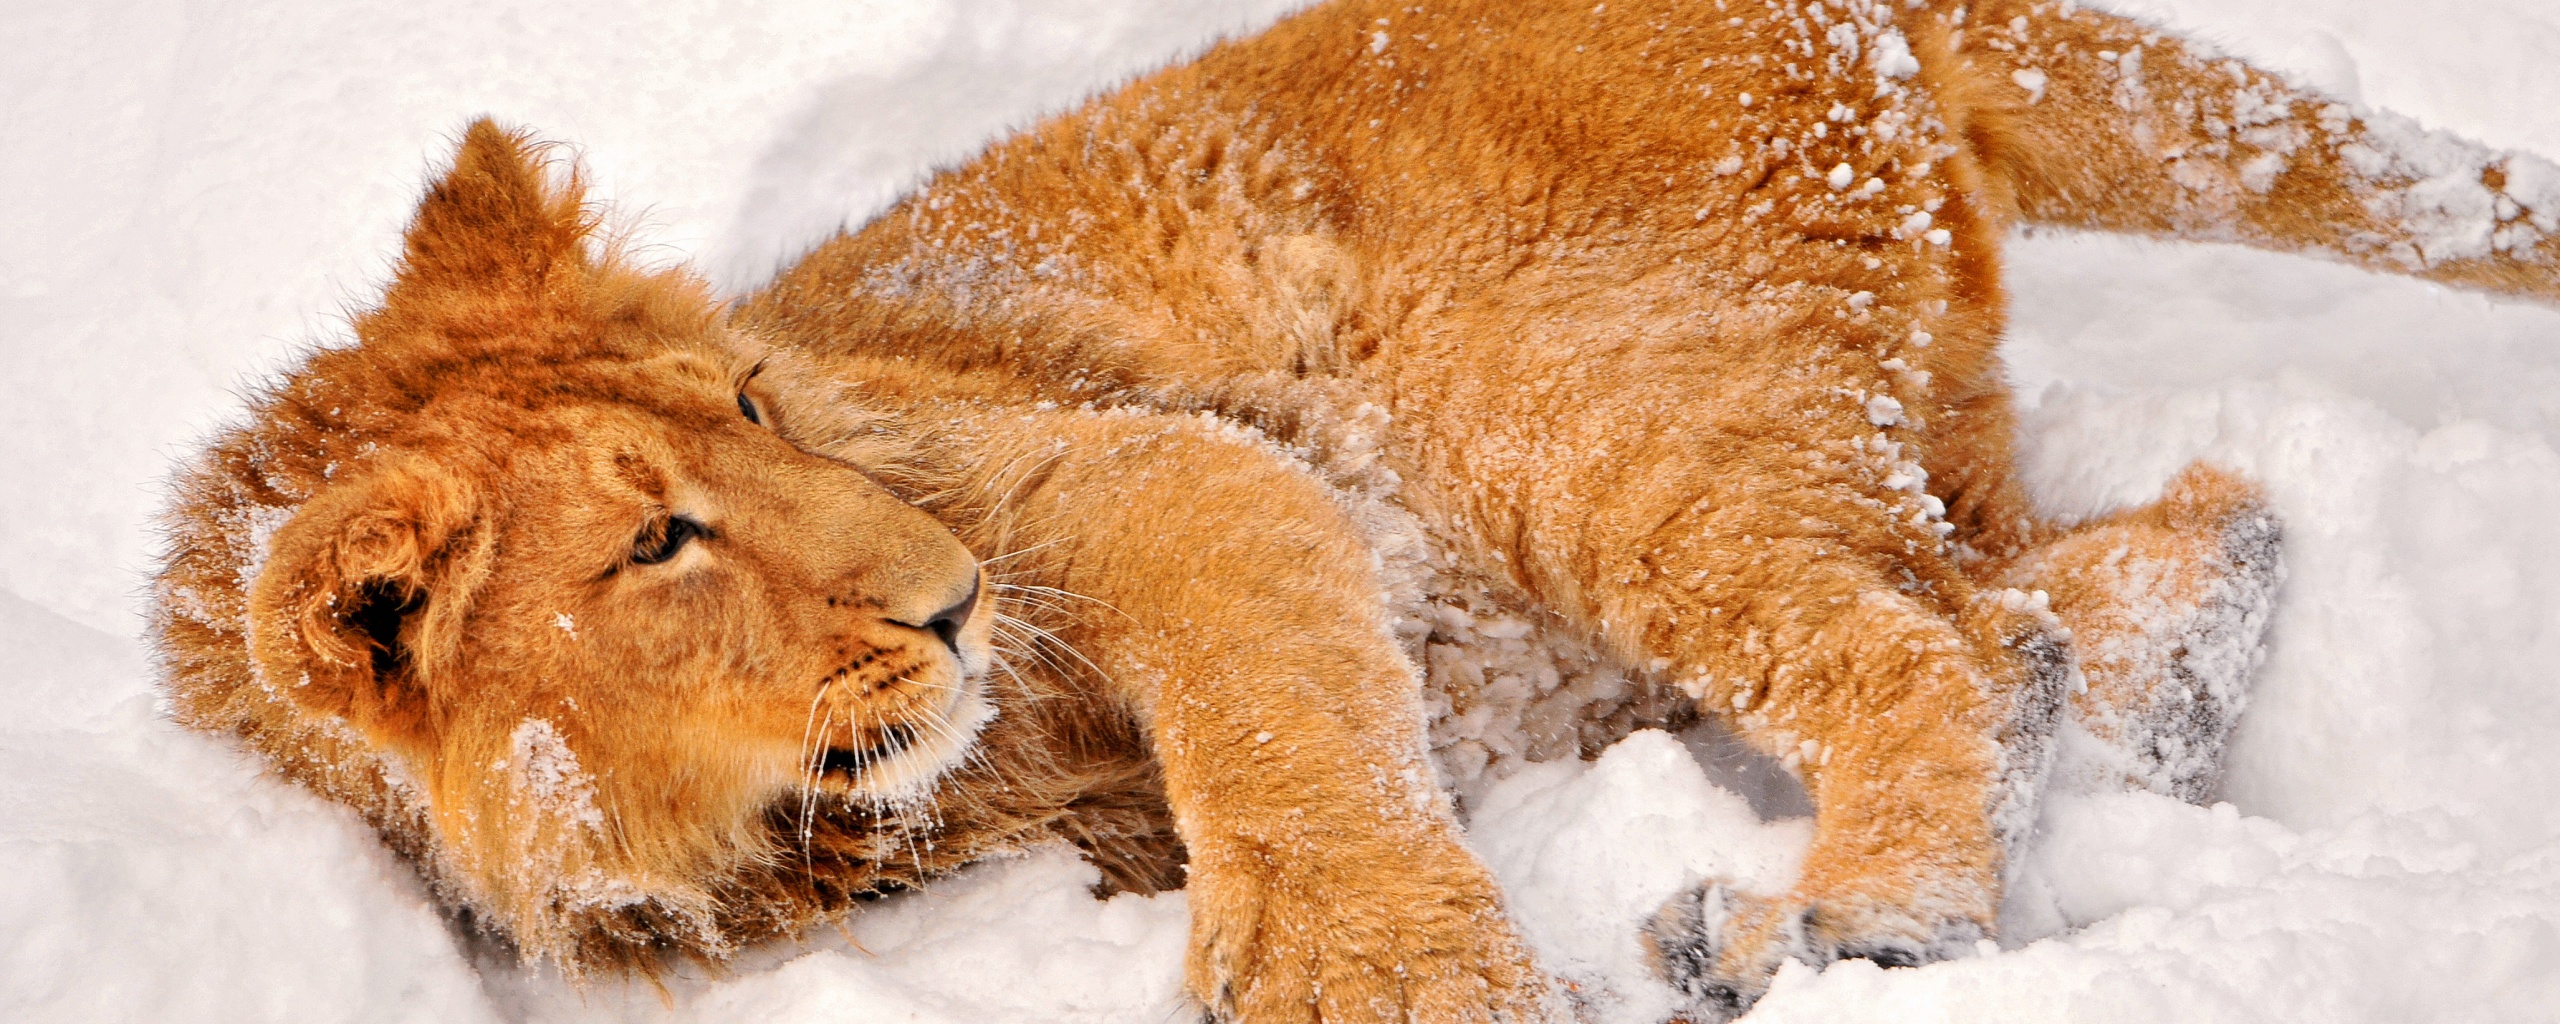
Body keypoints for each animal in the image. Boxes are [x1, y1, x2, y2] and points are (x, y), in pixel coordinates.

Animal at [151, 0, 2559, 1020]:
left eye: (754, 406)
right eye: (659, 539)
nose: (951, 602)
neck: (776, 826)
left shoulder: (1148, 468)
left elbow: (1277, 729)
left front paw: (1384, 979)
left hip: (1572, 419)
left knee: (1931, 643)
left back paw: (1856, 921)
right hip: (1838, 426)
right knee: (2118, 565)